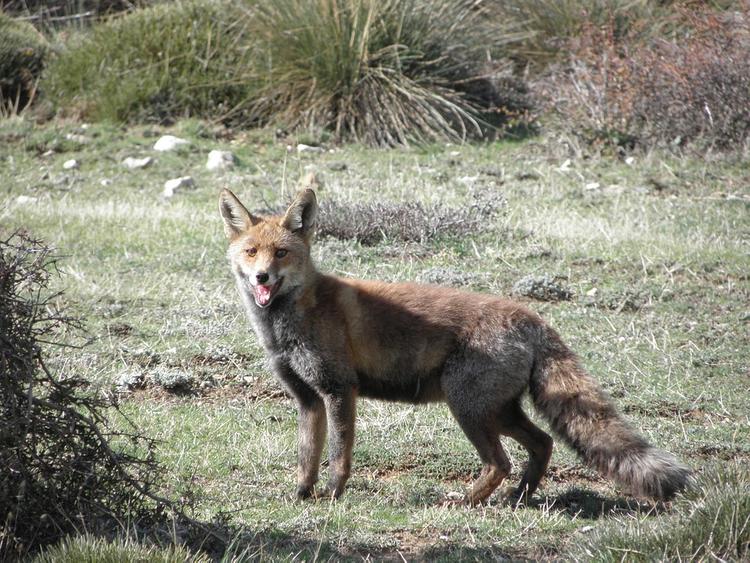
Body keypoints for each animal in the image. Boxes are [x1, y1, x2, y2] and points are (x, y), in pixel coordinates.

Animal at [219, 187, 692, 504]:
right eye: (252, 251)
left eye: (281, 253)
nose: (261, 277)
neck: (288, 325)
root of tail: (532, 318)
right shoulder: (308, 399)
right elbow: (307, 456)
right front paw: (302, 496)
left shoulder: (339, 390)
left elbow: (338, 456)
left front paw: (334, 497)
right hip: (497, 410)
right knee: (542, 443)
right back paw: (520, 498)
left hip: (467, 407)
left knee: (501, 461)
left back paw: (466, 502)